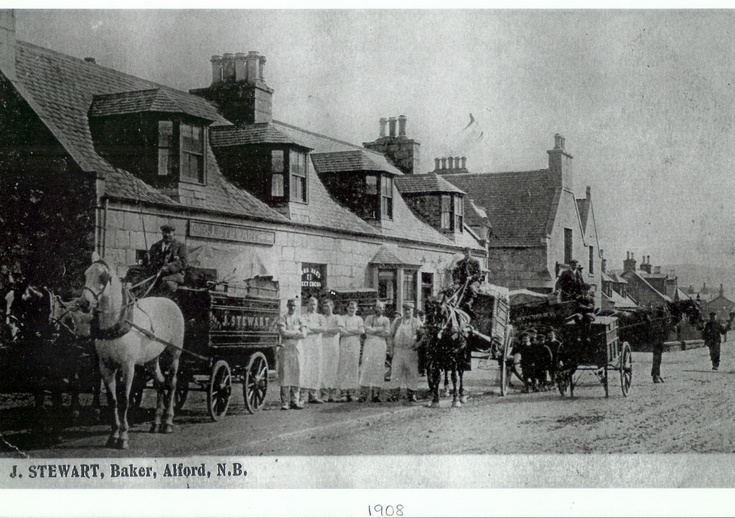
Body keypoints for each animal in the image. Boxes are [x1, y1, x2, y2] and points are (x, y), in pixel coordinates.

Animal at [76, 254, 185, 448]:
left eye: (104, 277)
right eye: (86, 274)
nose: (84, 303)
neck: (115, 322)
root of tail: (170, 301)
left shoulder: (128, 366)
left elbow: (125, 400)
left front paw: (124, 437)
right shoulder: (106, 366)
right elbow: (112, 400)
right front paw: (113, 435)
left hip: (174, 354)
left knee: (171, 384)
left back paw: (168, 422)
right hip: (151, 359)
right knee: (160, 383)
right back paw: (156, 423)